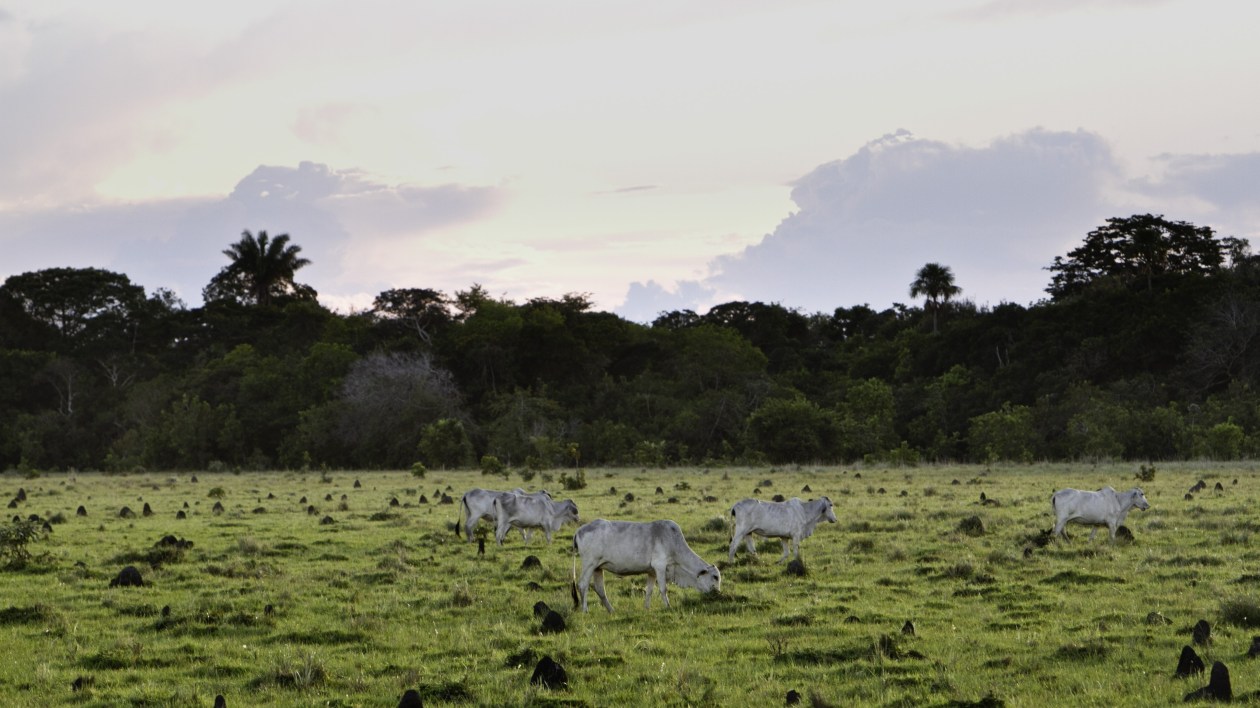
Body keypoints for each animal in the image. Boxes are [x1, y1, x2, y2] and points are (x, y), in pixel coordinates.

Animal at [572, 516, 720, 609]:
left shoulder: (652, 572)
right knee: (583, 585)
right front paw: (668, 606)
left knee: (600, 589)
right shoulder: (660, 566)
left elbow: (649, 590)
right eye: (715, 577)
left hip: (598, 568)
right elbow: (663, 589)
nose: (717, 593)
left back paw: (611, 610)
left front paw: (647, 608)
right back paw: (585, 610)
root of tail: (579, 530)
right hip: (589, 564)